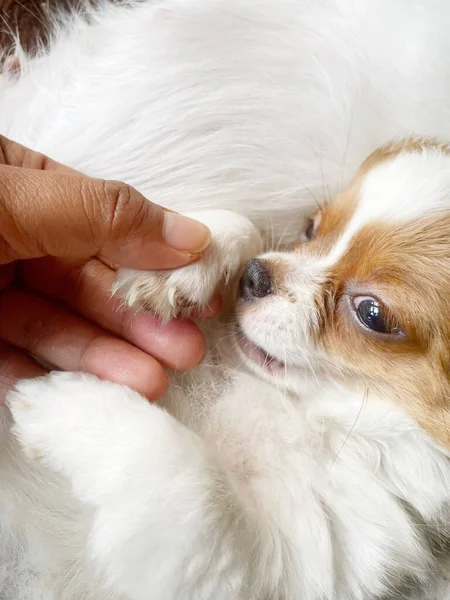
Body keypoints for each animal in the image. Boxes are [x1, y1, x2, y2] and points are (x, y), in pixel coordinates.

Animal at [0, 1, 450, 600]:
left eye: (372, 314)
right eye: (310, 229)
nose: (255, 278)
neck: (303, 414)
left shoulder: (278, 563)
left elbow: (197, 484)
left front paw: (69, 406)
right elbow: (243, 227)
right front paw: (183, 265)